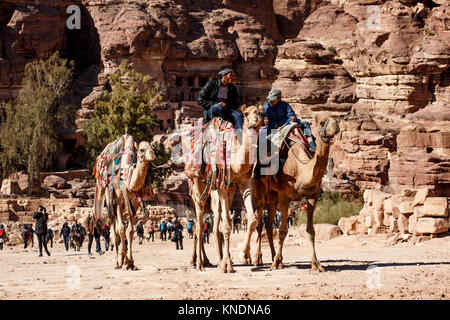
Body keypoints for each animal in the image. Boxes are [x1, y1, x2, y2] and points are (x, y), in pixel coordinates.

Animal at [185, 105, 264, 270]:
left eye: (262, 112)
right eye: (246, 114)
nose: (256, 119)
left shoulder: (244, 182)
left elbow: (253, 220)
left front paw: (243, 256)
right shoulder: (221, 185)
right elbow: (226, 224)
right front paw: (227, 264)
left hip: (223, 190)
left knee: (212, 221)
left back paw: (210, 260)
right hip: (197, 185)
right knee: (199, 224)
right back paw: (199, 263)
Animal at [241, 114, 340, 272]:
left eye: (336, 119)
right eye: (322, 122)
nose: (336, 125)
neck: (301, 170)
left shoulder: (312, 196)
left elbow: (310, 230)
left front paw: (316, 264)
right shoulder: (285, 196)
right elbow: (282, 230)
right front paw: (275, 263)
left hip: (273, 195)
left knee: (269, 225)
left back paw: (276, 257)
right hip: (259, 188)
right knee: (260, 223)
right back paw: (258, 259)